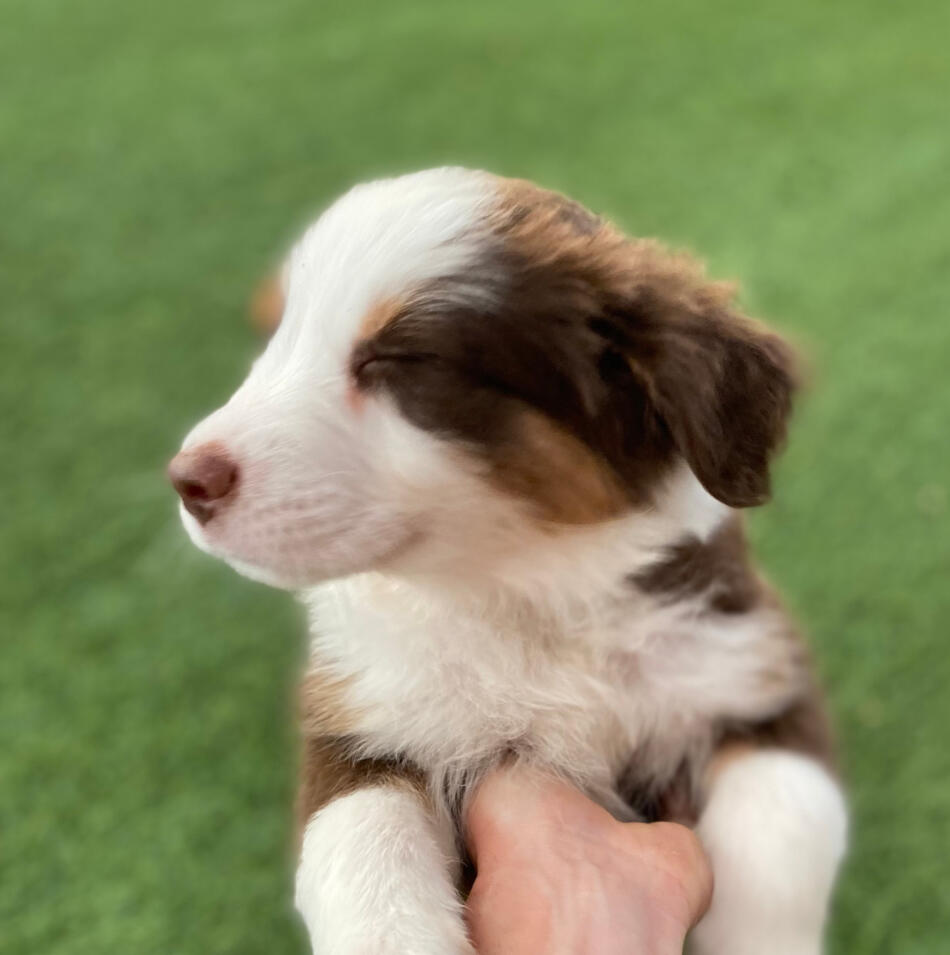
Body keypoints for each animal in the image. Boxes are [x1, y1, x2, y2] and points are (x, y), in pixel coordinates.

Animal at [169, 170, 848, 955]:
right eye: (272, 341)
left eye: (400, 361)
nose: (186, 480)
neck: (521, 594)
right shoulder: (359, 718)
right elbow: (359, 847)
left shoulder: (752, 673)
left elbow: (783, 831)